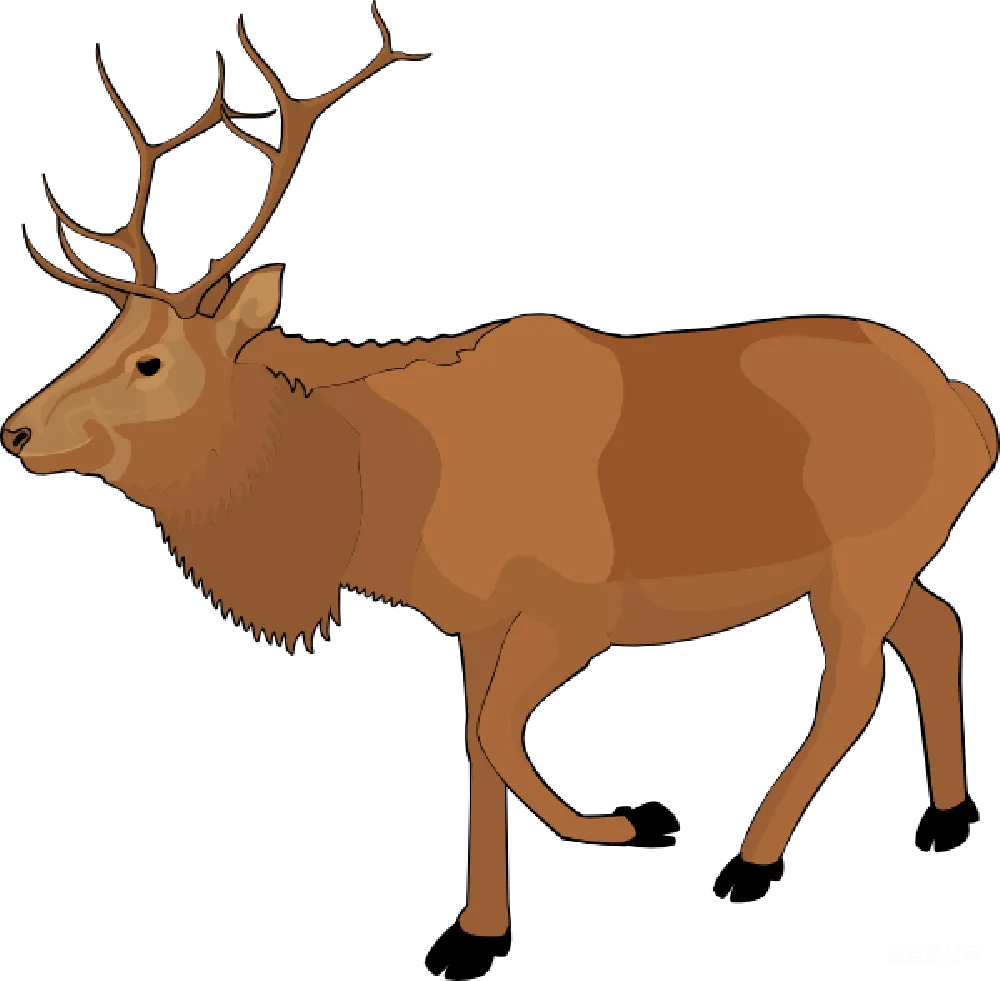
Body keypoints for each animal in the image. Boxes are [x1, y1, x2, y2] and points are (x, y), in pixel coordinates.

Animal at [4, 4, 995, 939]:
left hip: (864, 558)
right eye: (106, 337)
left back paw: (760, 838)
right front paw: (485, 913)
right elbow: (474, 744)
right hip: (883, 560)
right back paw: (946, 797)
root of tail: (965, 407)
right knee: (936, 626)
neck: (381, 495)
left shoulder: (577, 604)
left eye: (151, 363)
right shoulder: (474, 618)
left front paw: (605, 827)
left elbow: (494, 734)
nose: (16, 431)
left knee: (854, 683)